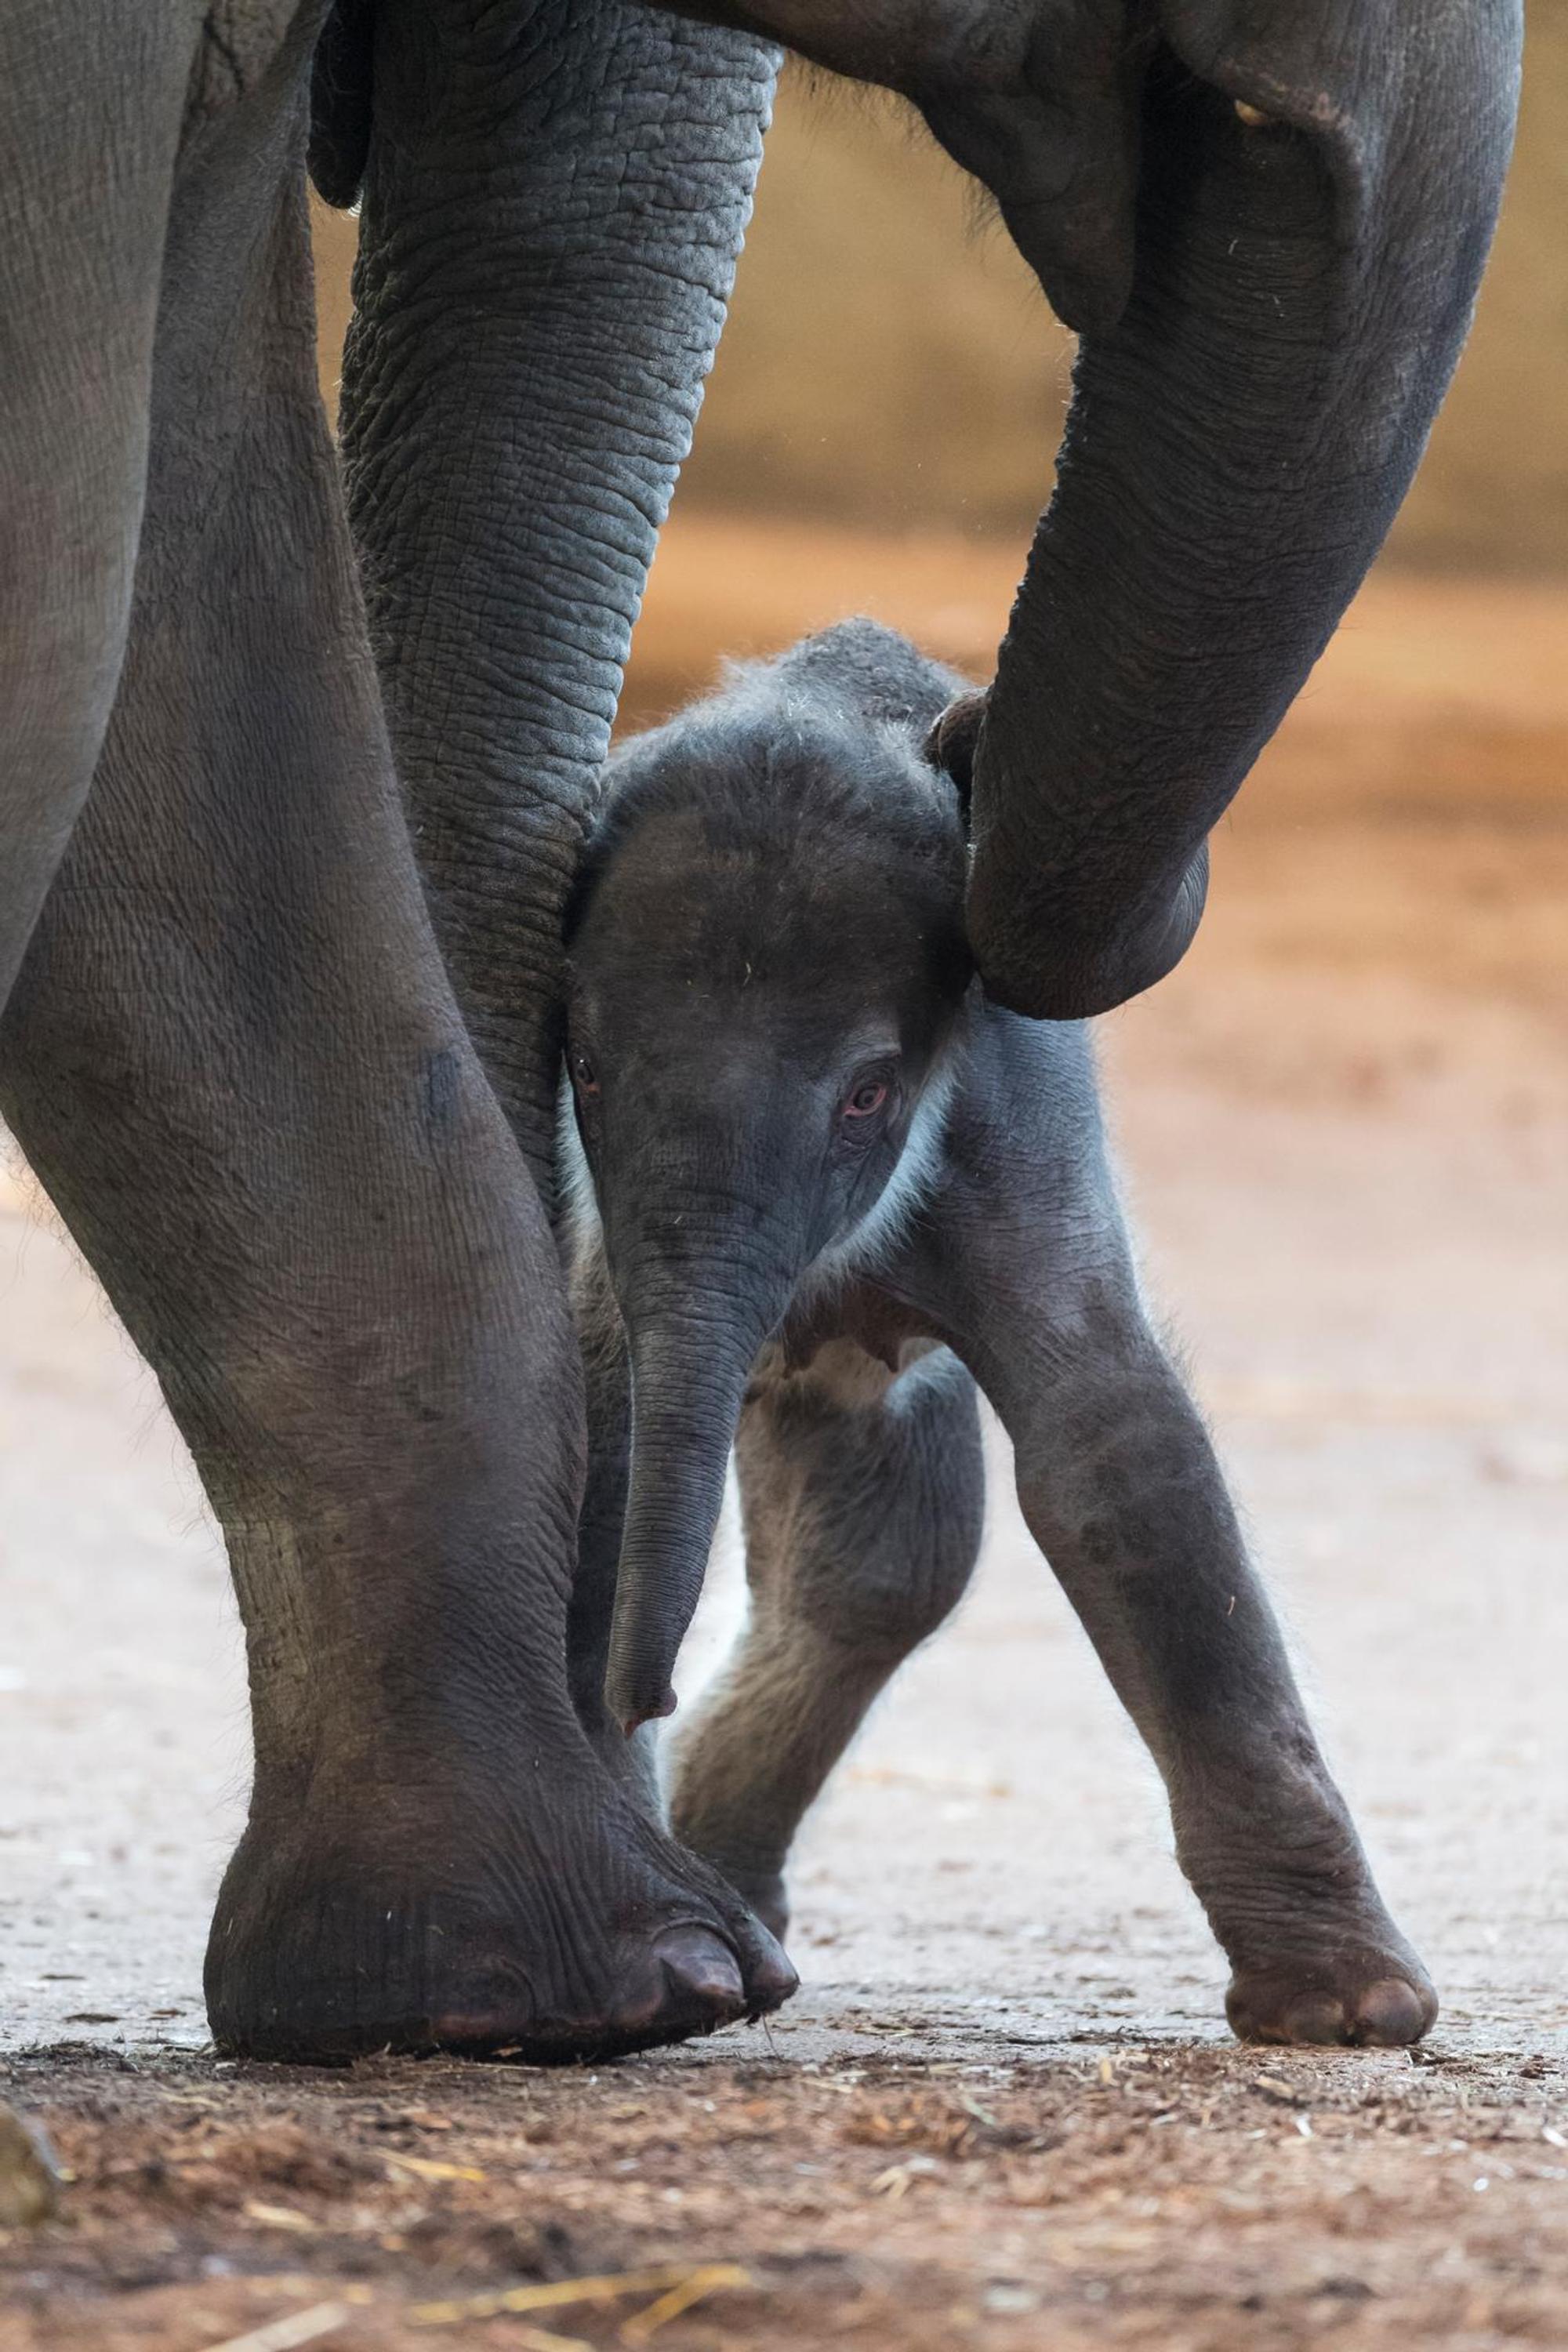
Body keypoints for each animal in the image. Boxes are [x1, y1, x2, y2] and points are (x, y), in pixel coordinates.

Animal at [559, 617, 1436, 2046]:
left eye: (867, 1096)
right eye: (580, 1068)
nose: (645, 1695)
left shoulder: (1017, 1117)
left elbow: (1114, 1449)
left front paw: (1354, 2017)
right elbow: (592, 1422)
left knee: (891, 1552)